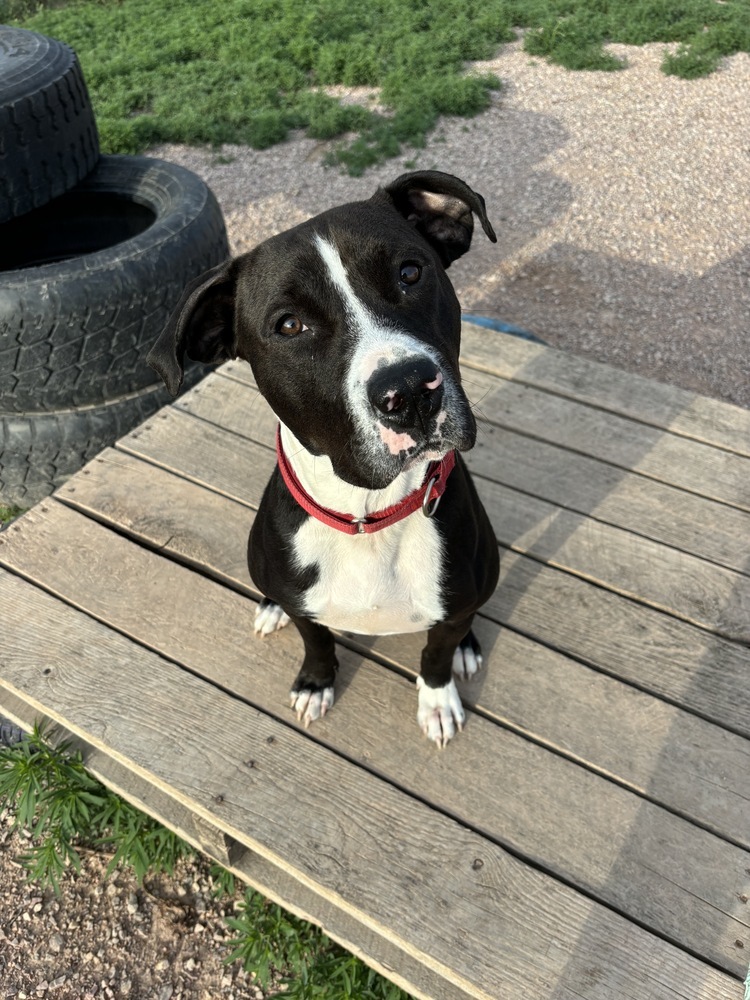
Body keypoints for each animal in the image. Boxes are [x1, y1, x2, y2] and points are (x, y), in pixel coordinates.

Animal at [147, 172, 500, 748]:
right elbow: (316, 638)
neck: (368, 514)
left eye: (410, 272)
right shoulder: (306, 604)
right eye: (290, 326)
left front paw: (437, 698)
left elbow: (437, 651)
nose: (408, 390)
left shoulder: (452, 609)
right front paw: (315, 683)